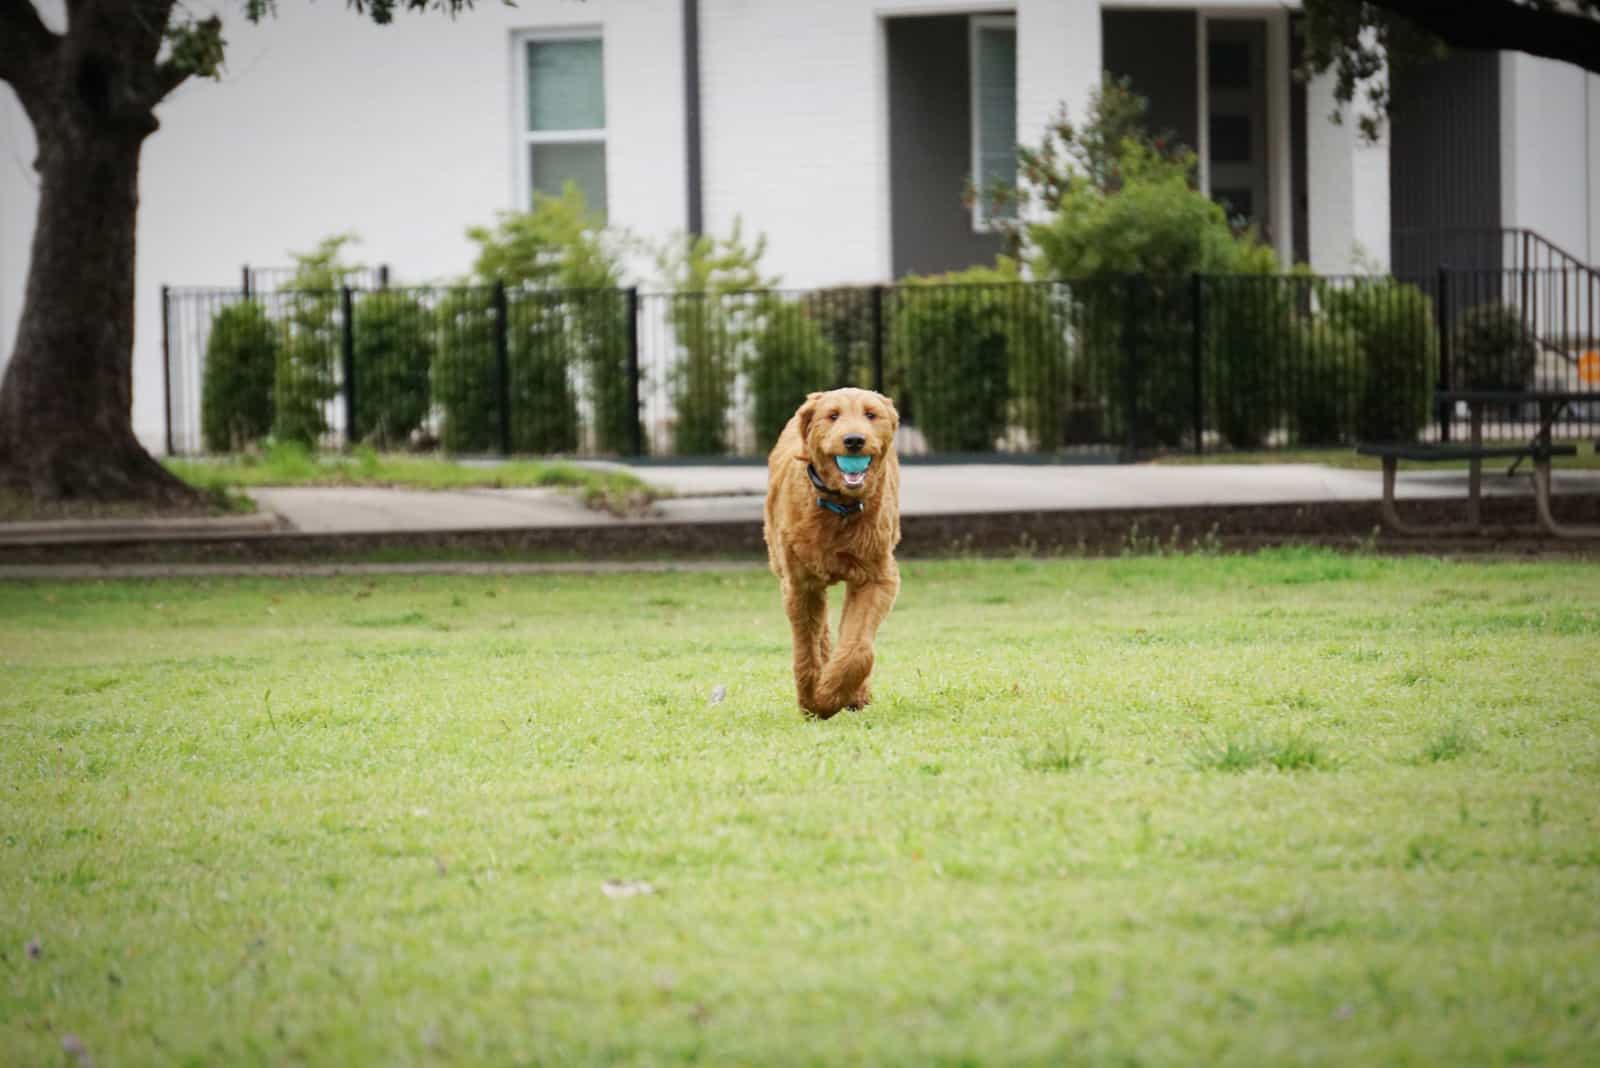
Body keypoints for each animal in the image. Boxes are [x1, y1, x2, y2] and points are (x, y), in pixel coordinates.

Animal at [761, 385, 902, 716]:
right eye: (833, 416)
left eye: (870, 415)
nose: (854, 440)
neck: (840, 509)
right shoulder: (800, 585)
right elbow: (807, 647)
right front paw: (813, 699)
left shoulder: (876, 577)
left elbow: (858, 648)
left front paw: (834, 693)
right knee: (821, 632)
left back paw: (855, 693)